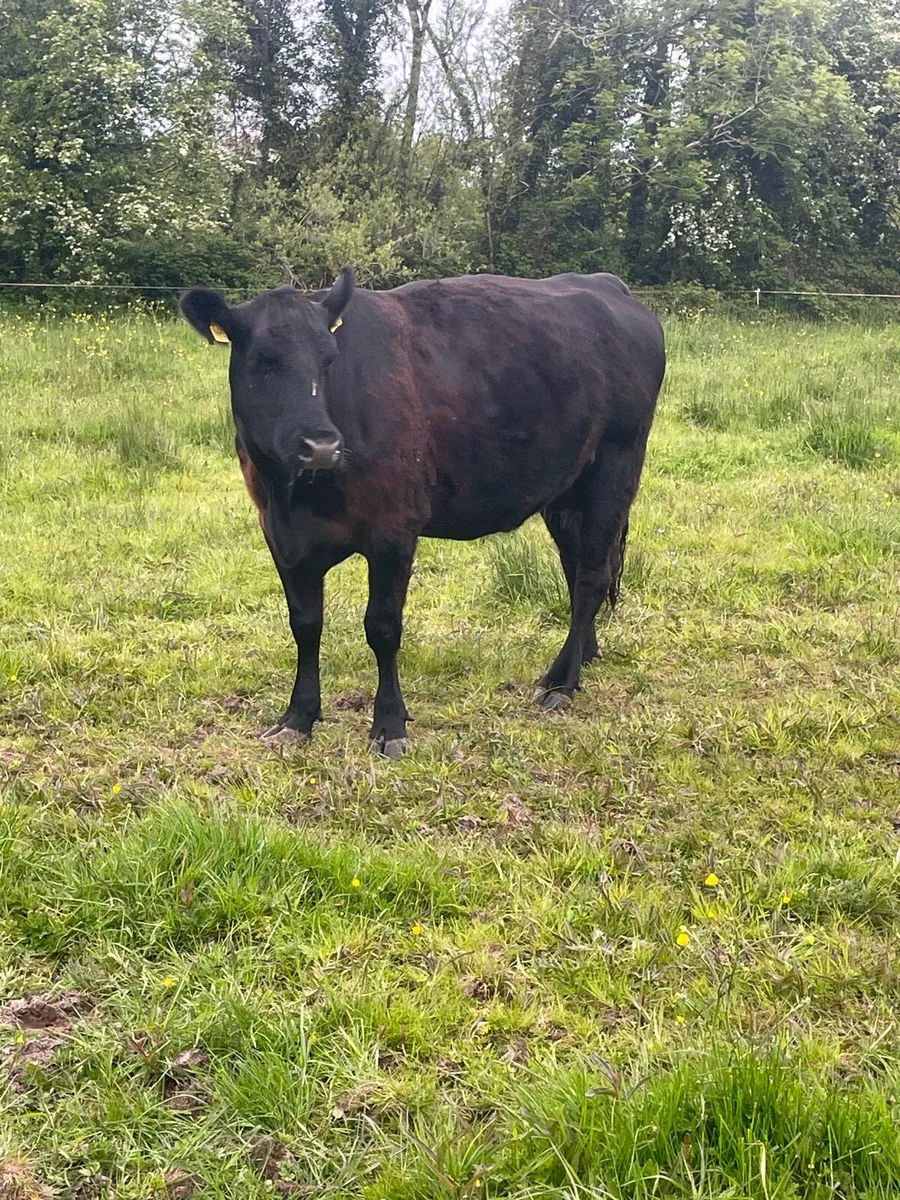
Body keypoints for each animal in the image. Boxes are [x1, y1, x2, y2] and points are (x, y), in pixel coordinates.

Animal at [180, 269, 665, 757]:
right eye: (264, 360)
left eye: (329, 359)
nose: (321, 445)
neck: (298, 496)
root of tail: (606, 284)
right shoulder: (282, 537)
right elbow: (305, 625)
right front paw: (298, 717)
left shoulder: (393, 532)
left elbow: (382, 627)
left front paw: (389, 724)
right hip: (566, 488)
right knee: (577, 564)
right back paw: (584, 654)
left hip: (616, 464)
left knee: (592, 576)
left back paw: (561, 681)